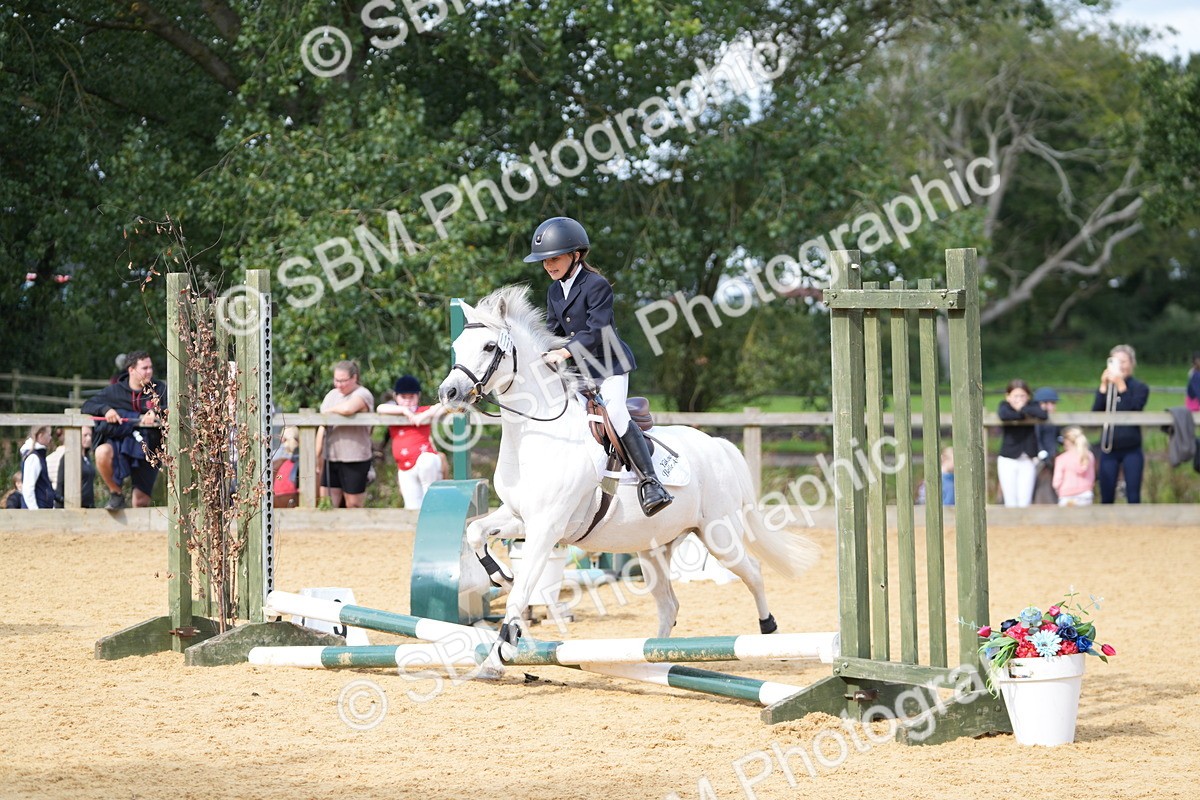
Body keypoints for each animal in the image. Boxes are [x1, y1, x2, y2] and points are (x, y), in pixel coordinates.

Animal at [437, 285, 819, 672]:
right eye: (457, 346)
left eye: (489, 346)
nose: (448, 394)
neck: (537, 433)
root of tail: (717, 445)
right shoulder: (520, 516)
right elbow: (476, 531)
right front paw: (499, 575)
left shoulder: (547, 527)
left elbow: (520, 595)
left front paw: (494, 661)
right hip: (654, 548)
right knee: (669, 605)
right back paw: (654, 662)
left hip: (719, 535)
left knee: (752, 572)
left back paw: (768, 629)